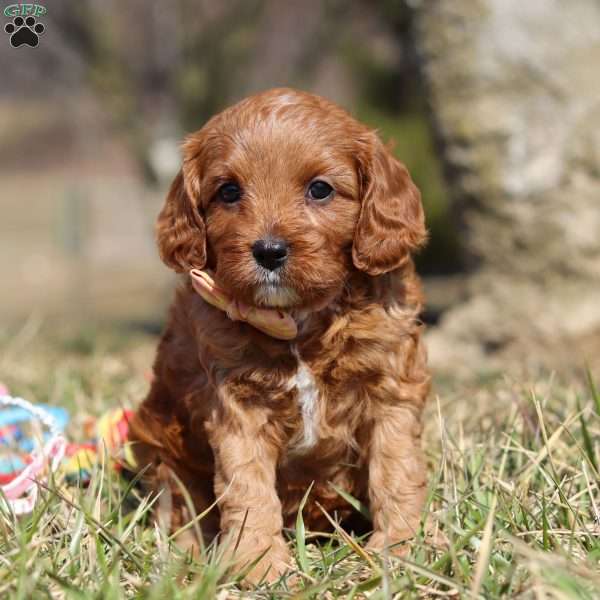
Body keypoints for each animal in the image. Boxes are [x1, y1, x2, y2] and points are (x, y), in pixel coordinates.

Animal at [130, 88, 432, 580]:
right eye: (229, 191)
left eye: (320, 189)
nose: (268, 251)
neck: (297, 319)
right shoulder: (236, 405)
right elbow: (246, 486)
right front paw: (258, 562)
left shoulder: (390, 390)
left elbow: (397, 469)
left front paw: (405, 548)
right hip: (160, 444)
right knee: (180, 505)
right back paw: (187, 559)